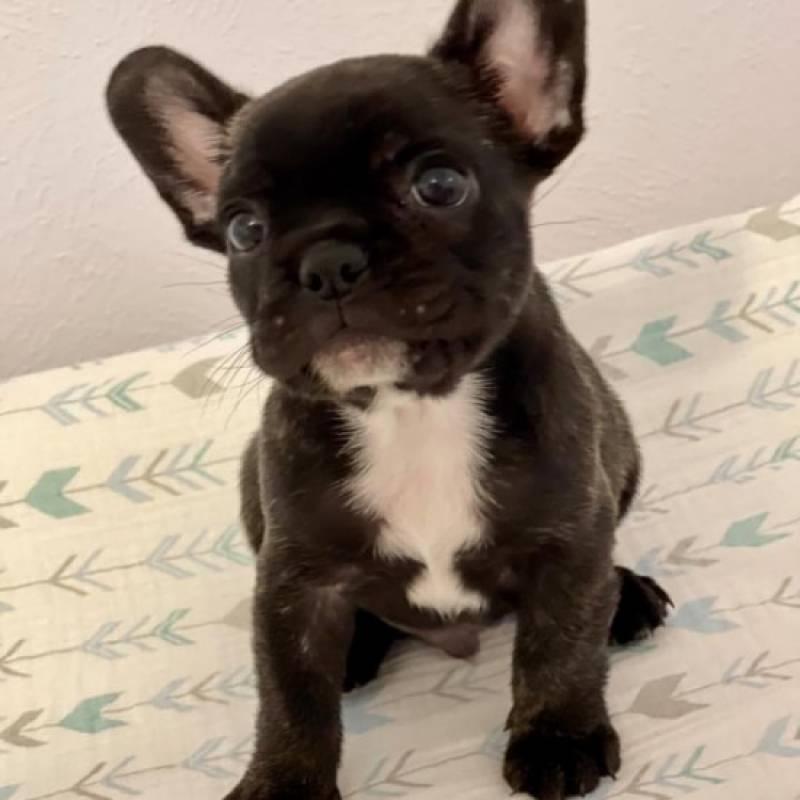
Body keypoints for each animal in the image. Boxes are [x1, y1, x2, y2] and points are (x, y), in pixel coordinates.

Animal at [106, 1, 671, 798]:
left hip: (618, 454)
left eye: (439, 185)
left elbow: (560, 641)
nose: (326, 261)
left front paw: (558, 734)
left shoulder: (568, 538)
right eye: (244, 229)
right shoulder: (293, 583)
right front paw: (283, 784)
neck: (413, 411)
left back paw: (628, 599)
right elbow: (289, 698)